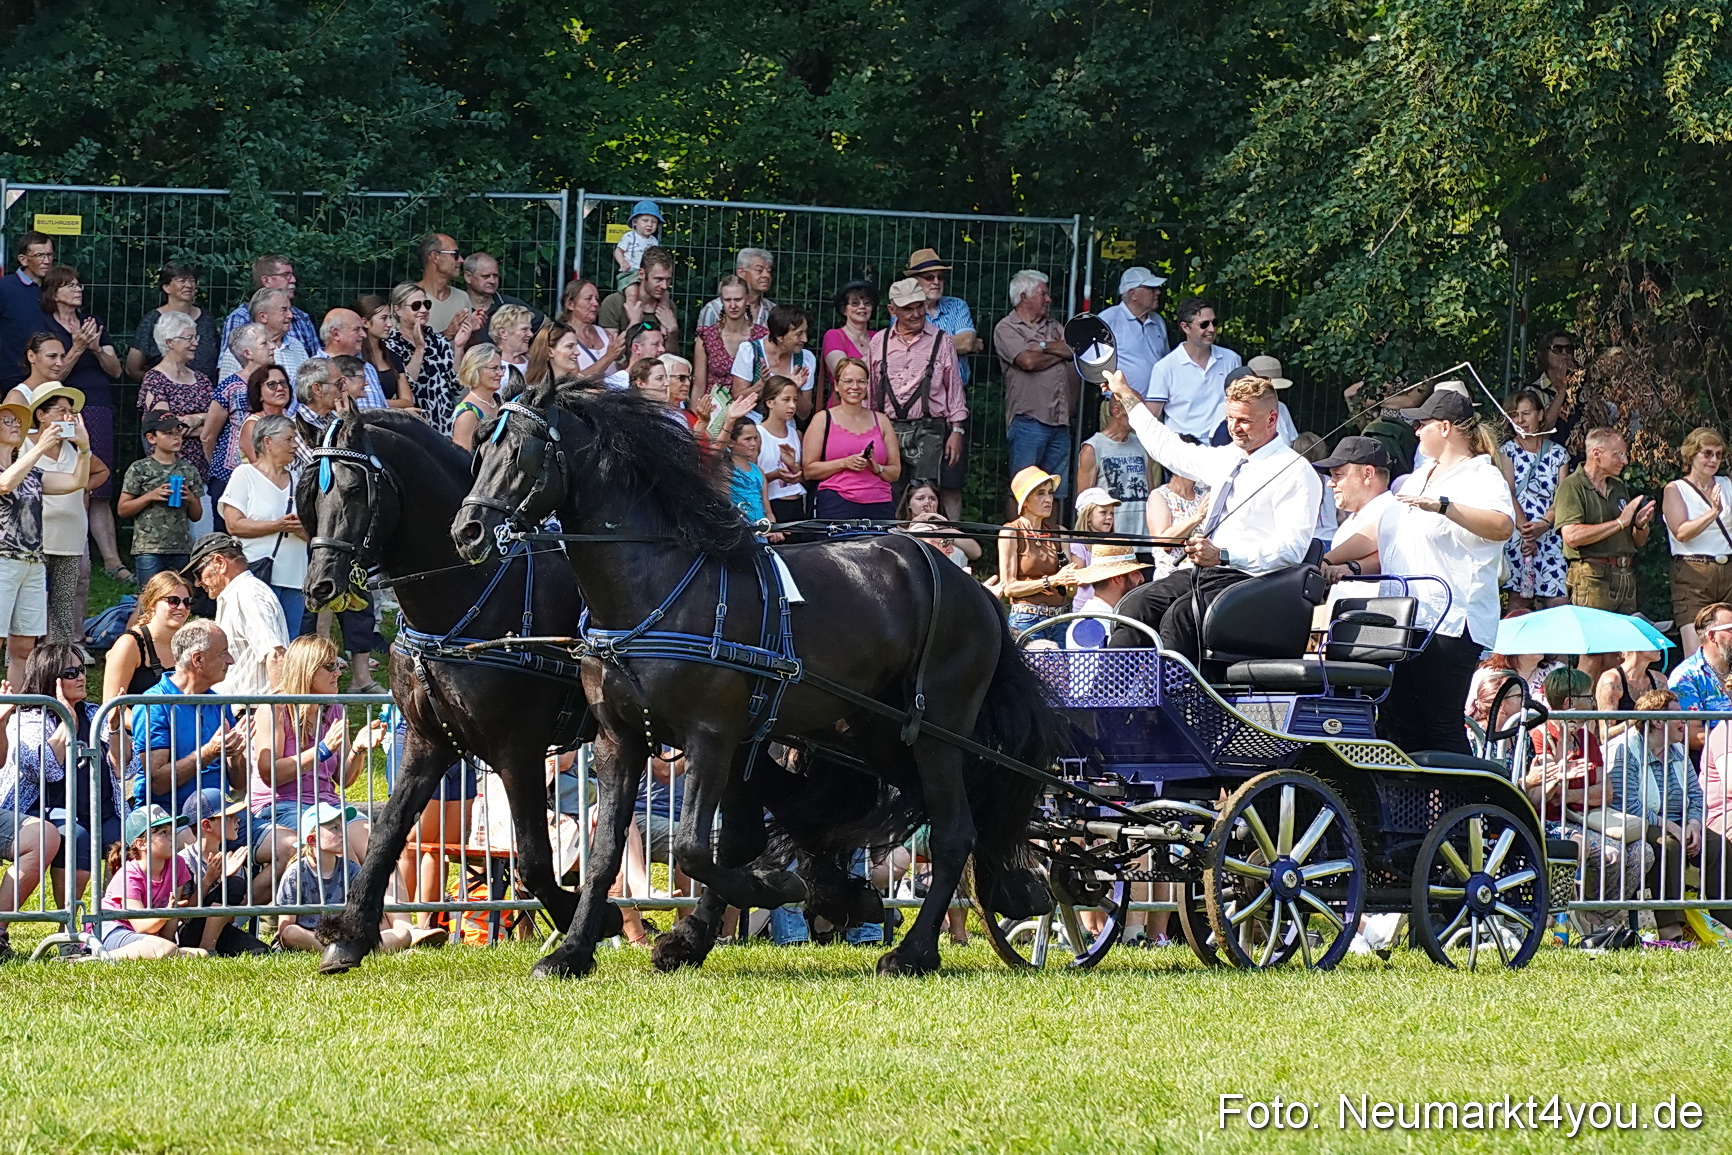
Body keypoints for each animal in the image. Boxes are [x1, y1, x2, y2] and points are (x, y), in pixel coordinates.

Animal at [298, 408, 602, 973]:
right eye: (309, 497)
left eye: (352, 491)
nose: (320, 586)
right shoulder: (429, 741)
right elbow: (387, 833)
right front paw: (349, 937)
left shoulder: (517, 748)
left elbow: (532, 857)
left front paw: (586, 922)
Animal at [451, 382, 1056, 977]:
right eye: (479, 451)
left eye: (521, 453)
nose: (468, 532)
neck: (655, 588)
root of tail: (974, 588)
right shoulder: (618, 741)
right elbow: (608, 856)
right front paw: (574, 951)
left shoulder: (712, 736)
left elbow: (698, 847)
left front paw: (771, 886)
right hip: (876, 731)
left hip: (935, 731)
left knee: (954, 831)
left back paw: (913, 951)